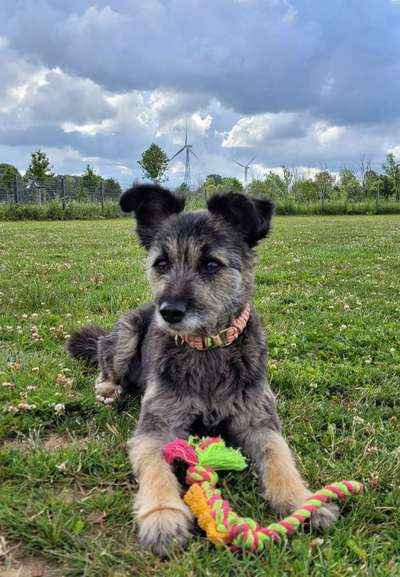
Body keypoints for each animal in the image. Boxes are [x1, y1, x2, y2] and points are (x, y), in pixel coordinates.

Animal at [68, 183, 338, 552]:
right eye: (162, 263)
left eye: (211, 263)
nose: (169, 312)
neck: (206, 348)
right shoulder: (156, 426)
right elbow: (155, 468)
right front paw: (162, 516)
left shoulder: (259, 420)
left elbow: (280, 458)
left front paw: (302, 502)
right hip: (126, 332)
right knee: (104, 355)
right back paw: (109, 387)